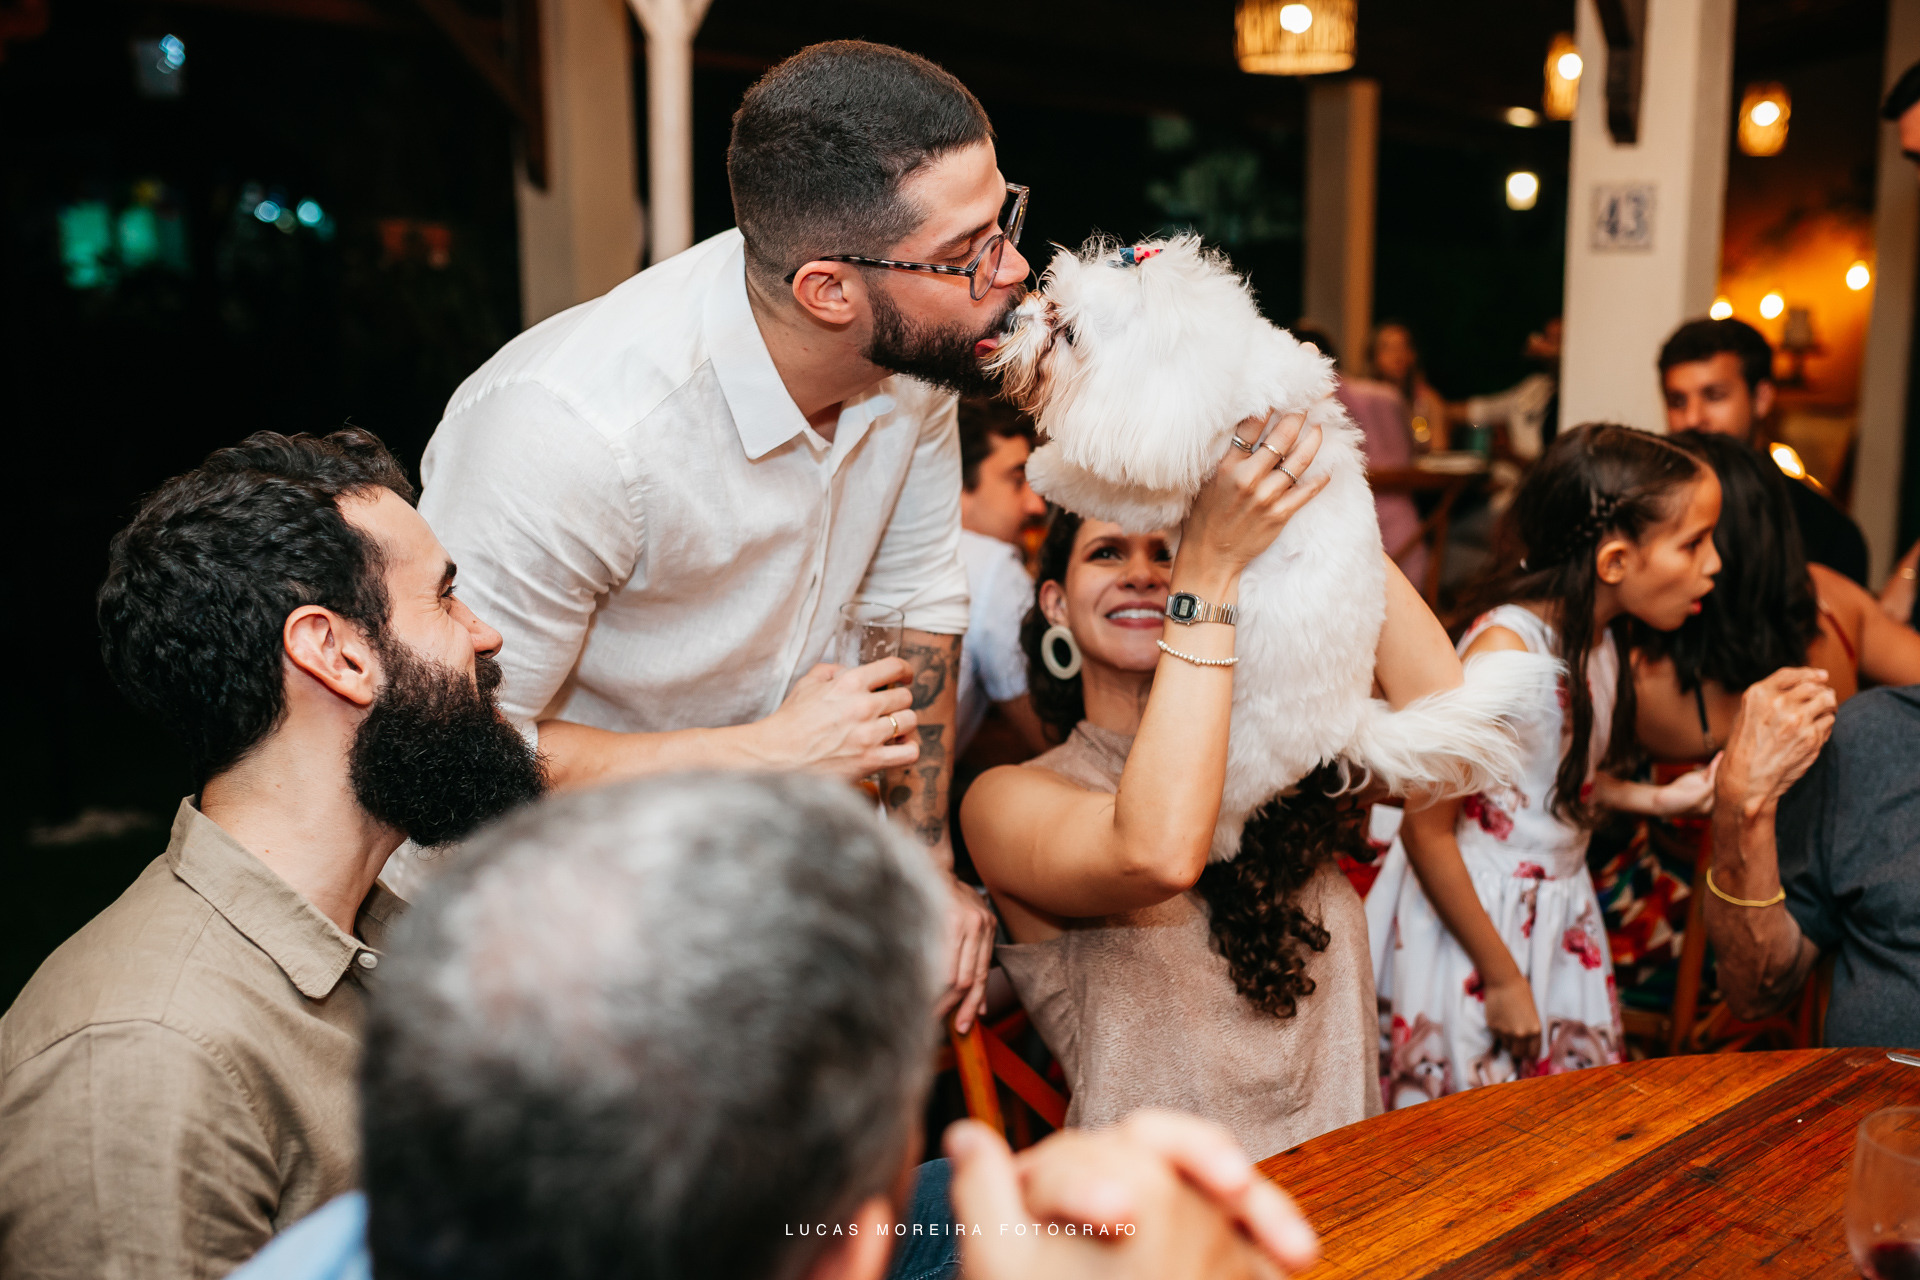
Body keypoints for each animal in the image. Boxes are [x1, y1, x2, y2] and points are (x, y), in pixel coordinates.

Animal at [988, 235, 1560, 861]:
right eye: (1050, 296)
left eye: (1067, 332)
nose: (1015, 316)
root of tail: (1350, 720)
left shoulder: (1162, 485)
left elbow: (1101, 485)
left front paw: (1044, 469)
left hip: (1241, 756)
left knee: (1231, 816)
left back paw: (1215, 842)